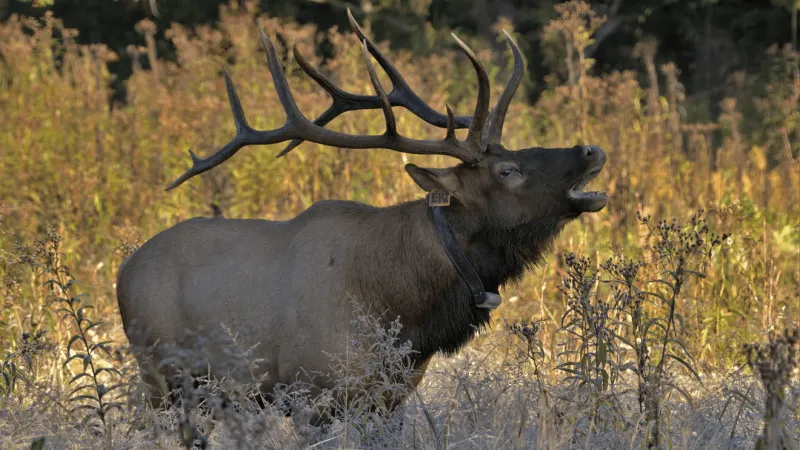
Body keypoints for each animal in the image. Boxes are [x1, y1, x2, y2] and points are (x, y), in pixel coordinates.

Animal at [116, 9, 607, 431]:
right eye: (508, 171)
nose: (591, 149)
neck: (407, 311)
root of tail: (123, 272)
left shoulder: (391, 397)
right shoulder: (312, 393)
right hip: (162, 380)